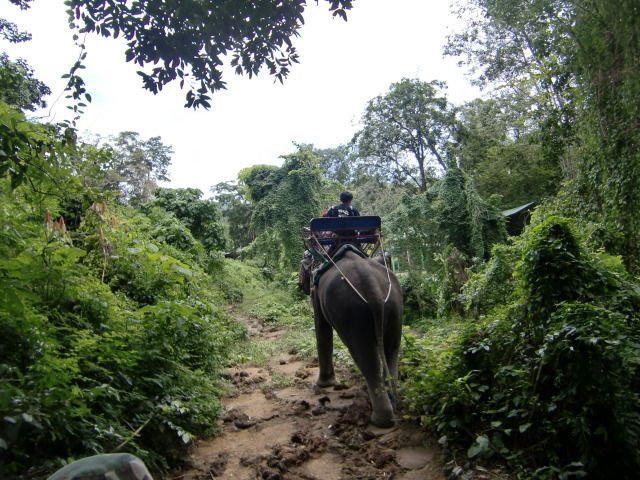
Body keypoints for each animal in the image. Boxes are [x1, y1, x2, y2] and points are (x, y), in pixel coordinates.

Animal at [311, 248, 403, 427]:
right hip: (395, 306)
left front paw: (325, 384)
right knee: (392, 349)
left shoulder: (315, 291)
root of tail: (371, 283)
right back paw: (393, 404)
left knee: (365, 355)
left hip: (351, 312)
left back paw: (379, 420)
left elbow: (322, 327)